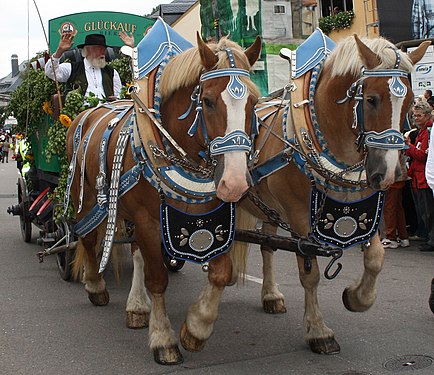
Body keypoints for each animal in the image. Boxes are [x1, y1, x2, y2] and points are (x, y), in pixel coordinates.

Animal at [66, 26, 260, 364]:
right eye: (208, 101)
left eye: (253, 102)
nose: (235, 183)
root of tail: (89, 111)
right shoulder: (148, 221)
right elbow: (158, 279)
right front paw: (163, 339)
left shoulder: (217, 218)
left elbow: (221, 273)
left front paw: (196, 328)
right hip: (88, 196)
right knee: (87, 237)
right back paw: (95, 285)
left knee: (135, 253)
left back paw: (136, 306)